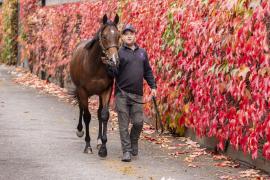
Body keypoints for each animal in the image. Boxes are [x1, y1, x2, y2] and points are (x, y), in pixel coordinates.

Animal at [69, 14, 120, 158]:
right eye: (104, 36)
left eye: (118, 36)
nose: (114, 60)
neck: (94, 65)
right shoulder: (83, 91)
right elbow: (87, 116)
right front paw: (88, 146)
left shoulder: (106, 90)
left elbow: (104, 115)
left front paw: (103, 148)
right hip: (81, 92)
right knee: (81, 108)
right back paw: (80, 130)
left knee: (98, 112)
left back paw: (98, 141)